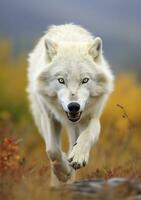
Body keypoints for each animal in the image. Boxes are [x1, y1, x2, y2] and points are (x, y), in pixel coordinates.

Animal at [27, 24, 114, 187]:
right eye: (61, 80)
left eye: (85, 80)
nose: (74, 106)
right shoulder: (48, 116)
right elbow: (52, 150)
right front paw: (63, 172)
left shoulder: (92, 118)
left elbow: (86, 136)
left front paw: (78, 157)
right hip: (40, 117)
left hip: (75, 127)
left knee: (74, 141)